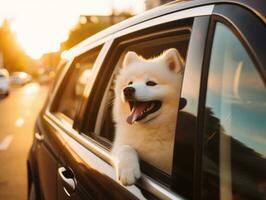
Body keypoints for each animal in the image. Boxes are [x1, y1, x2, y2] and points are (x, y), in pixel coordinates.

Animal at [111, 48, 184, 186]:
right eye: (130, 82)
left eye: (151, 83)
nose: (128, 90)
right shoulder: (119, 144)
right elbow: (126, 147)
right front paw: (128, 171)